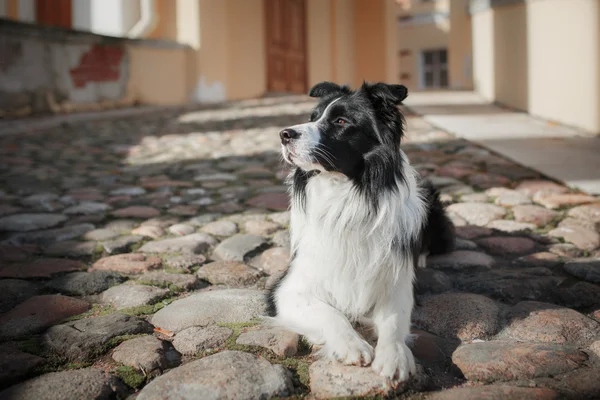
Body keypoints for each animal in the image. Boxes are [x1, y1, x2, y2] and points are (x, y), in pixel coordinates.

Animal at [268, 81, 454, 382]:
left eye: (341, 122)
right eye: (312, 117)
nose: (284, 134)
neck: (346, 194)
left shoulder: (395, 281)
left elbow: (394, 318)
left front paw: (394, 356)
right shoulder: (287, 289)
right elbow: (330, 312)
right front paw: (352, 345)